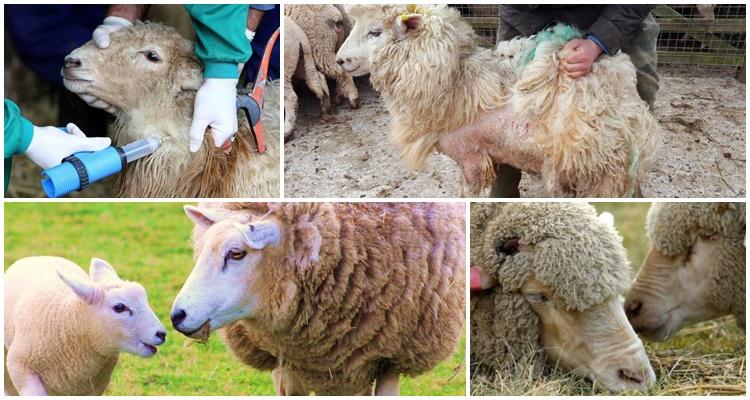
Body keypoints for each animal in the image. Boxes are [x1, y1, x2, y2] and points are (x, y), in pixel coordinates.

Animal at [336, 5, 659, 197]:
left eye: (375, 32)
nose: (340, 60)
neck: (456, 83)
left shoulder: (470, 155)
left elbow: (467, 193)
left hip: (600, 167)